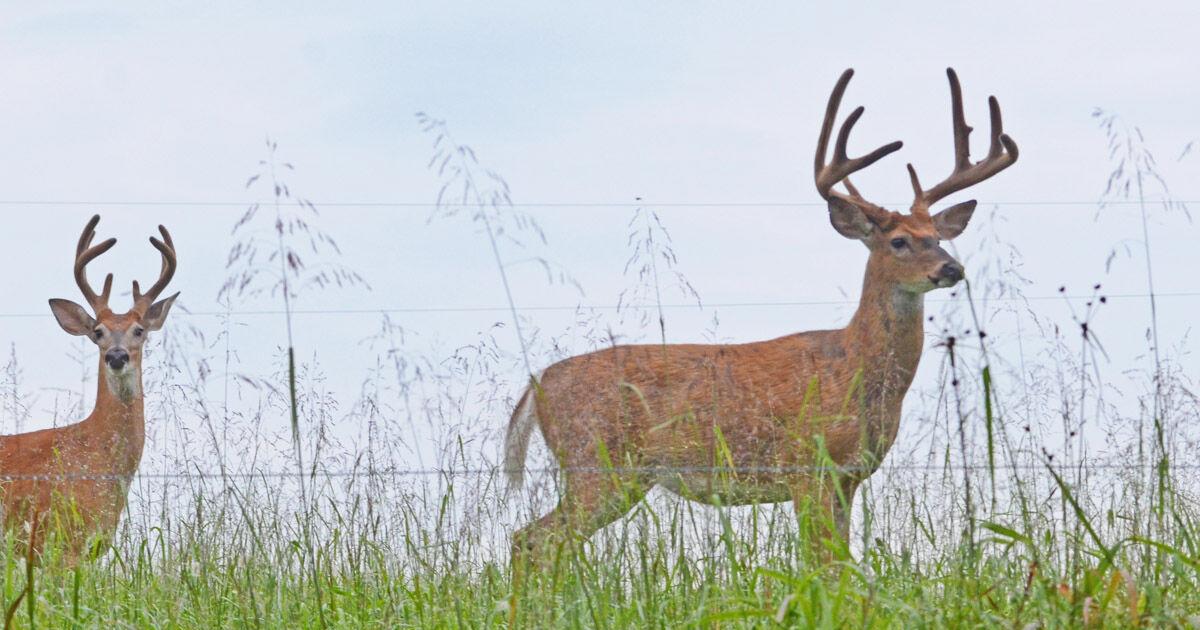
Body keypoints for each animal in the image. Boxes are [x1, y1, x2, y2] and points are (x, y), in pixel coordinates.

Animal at [504, 68, 1018, 567]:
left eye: (937, 237)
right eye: (899, 241)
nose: (951, 268)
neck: (854, 366)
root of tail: (536, 384)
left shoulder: (848, 476)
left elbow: (842, 564)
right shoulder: (807, 464)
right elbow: (819, 564)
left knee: (537, 540)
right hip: (598, 462)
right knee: (532, 539)